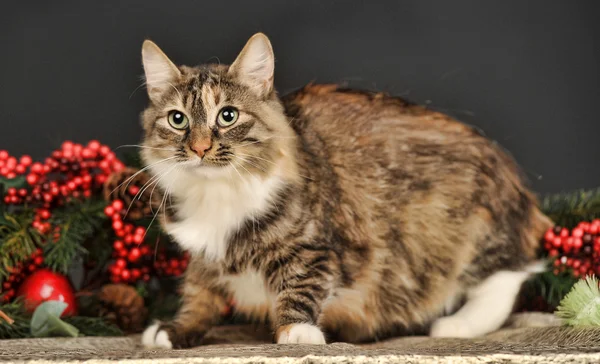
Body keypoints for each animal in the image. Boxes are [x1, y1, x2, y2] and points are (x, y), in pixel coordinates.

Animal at [138, 32, 552, 346]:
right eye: (178, 120)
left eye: (227, 116)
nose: (199, 148)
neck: (216, 196)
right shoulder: (204, 258)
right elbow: (198, 295)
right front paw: (175, 330)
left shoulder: (316, 247)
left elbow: (299, 286)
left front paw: (296, 331)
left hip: (470, 226)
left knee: (510, 275)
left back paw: (455, 325)